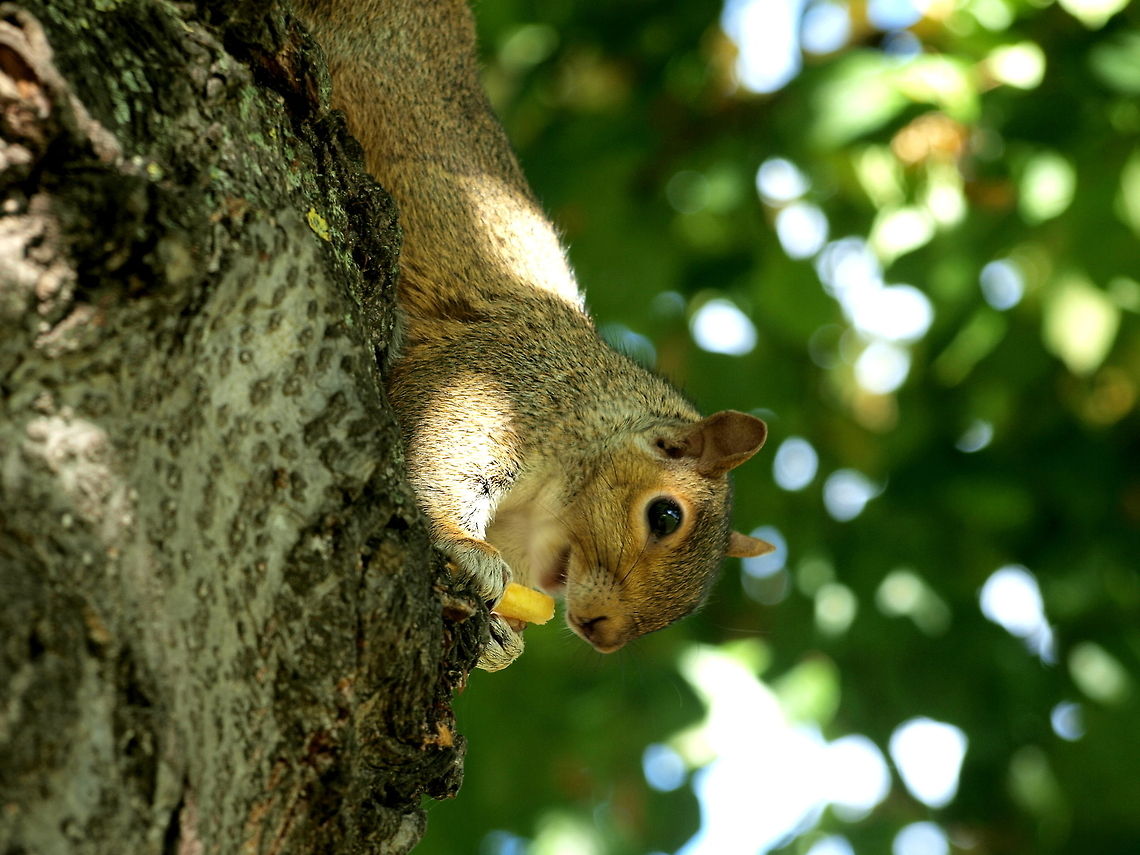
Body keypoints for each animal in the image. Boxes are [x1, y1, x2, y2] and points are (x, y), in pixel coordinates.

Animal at [294, 0, 774, 670]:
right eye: (664, 516)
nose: (603, 634)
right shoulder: (497, 382)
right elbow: (437, 462)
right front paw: (464, 548)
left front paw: (500, 640)